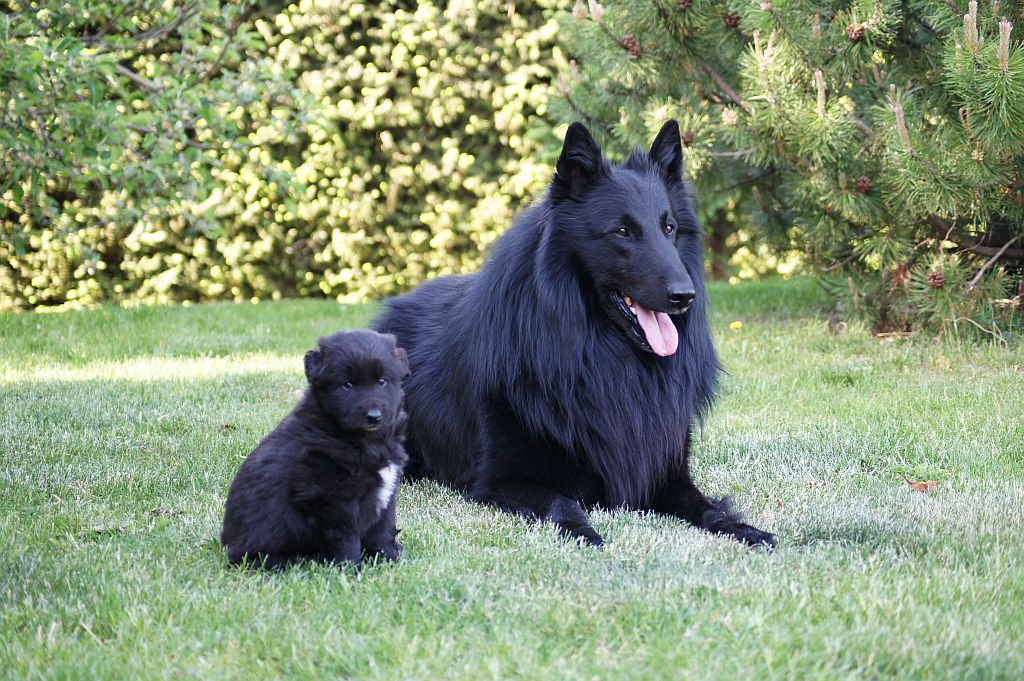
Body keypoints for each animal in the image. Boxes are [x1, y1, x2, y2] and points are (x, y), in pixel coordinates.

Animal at [220, 329, 407, 569]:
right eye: (347, 385)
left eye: (382, 381)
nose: (373, 416)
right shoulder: (333, 500)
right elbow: (346, 538)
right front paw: (351, 568)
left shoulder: (387, 492)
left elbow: (383, 527)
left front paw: (388, 556)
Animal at [376, 120, 774, 548]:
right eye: (622, 231)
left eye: (669, 228)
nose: (685, 296)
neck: (602, 358)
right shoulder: (501, 481)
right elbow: (562, 502)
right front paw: (587, 534)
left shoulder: (666, 472)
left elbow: (708, 507)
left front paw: (745, 530)